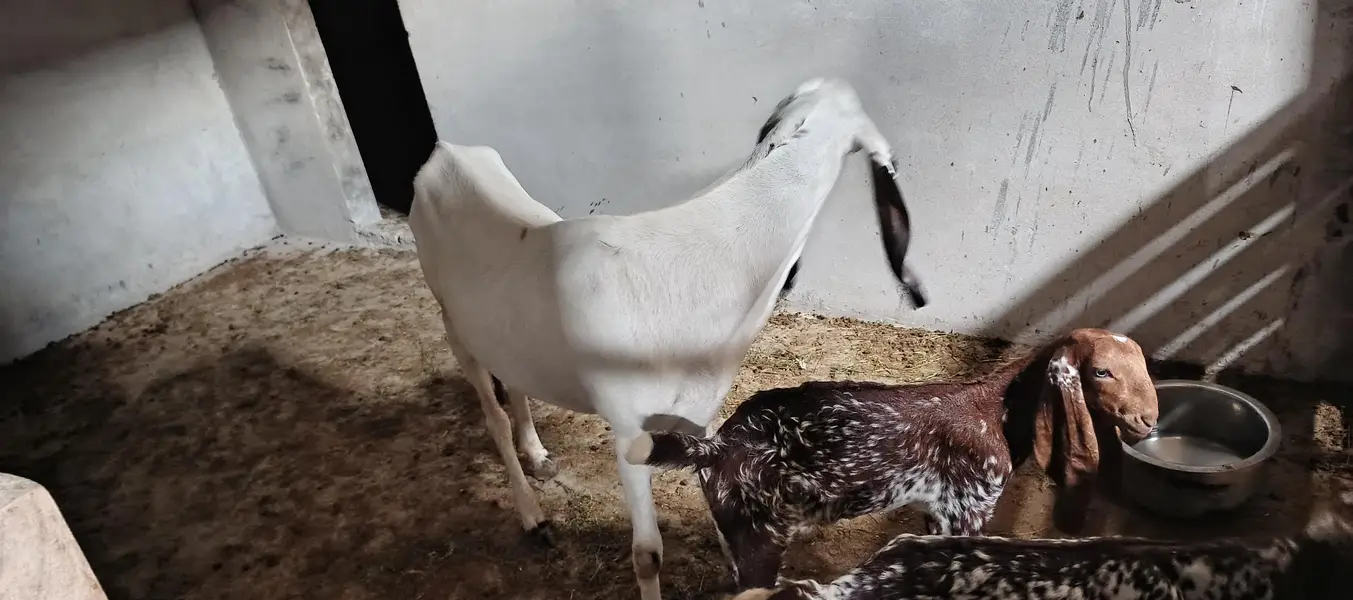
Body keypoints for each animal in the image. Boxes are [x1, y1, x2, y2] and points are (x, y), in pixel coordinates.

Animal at [407, 78, 928, 600]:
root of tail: (445, 151)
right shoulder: (627, 428)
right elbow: (648, 554)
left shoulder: (701, 417)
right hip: (453, 323)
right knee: (493, 418)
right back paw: (534, 517)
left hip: (504, 338)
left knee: (514, 383)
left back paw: (537, 455)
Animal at [625, 328, 1160, 590]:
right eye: (1101, 372)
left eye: (1144, 366)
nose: (1147, 419)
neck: (997, 412)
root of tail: (715, 447)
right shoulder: (969, 509)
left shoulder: (937, 512)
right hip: (760, 536)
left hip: (733, 529)